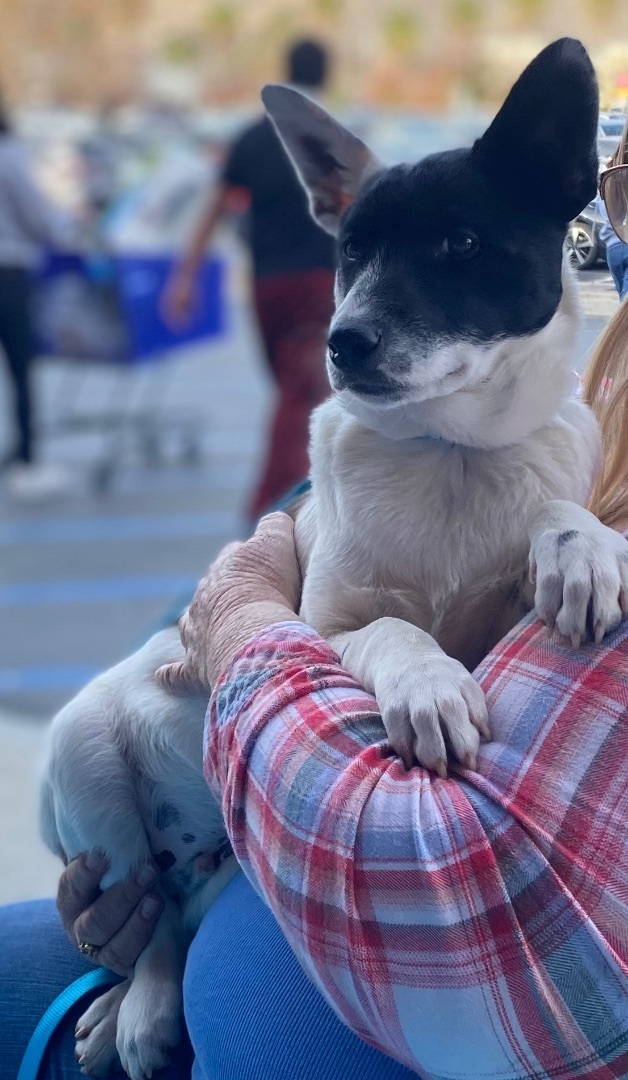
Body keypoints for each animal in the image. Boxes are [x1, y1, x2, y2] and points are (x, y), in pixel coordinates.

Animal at [37, 39, 626, 1080]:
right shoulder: (324, 624)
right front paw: (427, 687)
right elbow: (391, 627)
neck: (449, 455)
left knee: (179, 913)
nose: (342, 342)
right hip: (85, 768)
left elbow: (552, 514)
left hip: (204, 860)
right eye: (349, 254)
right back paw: (139, 1013)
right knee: (150, 930)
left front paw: (583, 549)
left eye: (460, 244)